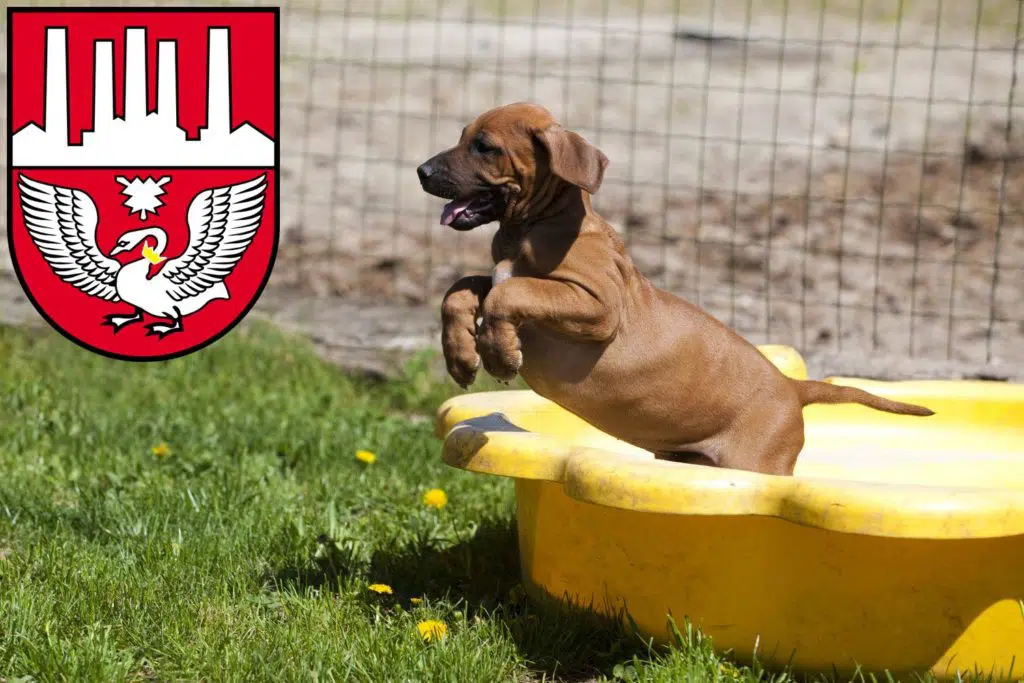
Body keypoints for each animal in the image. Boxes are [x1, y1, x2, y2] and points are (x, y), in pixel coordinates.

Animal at [411, 102, 933, 475]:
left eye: (484, 146)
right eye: (463, 137)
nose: (421, 172)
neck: (535, 225)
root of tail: (791, 387)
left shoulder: (598, 306)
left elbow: (508, 292)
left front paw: (499, 354)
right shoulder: (514, 282)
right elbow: (462, 288)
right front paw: (462, 355)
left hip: (756, 464)